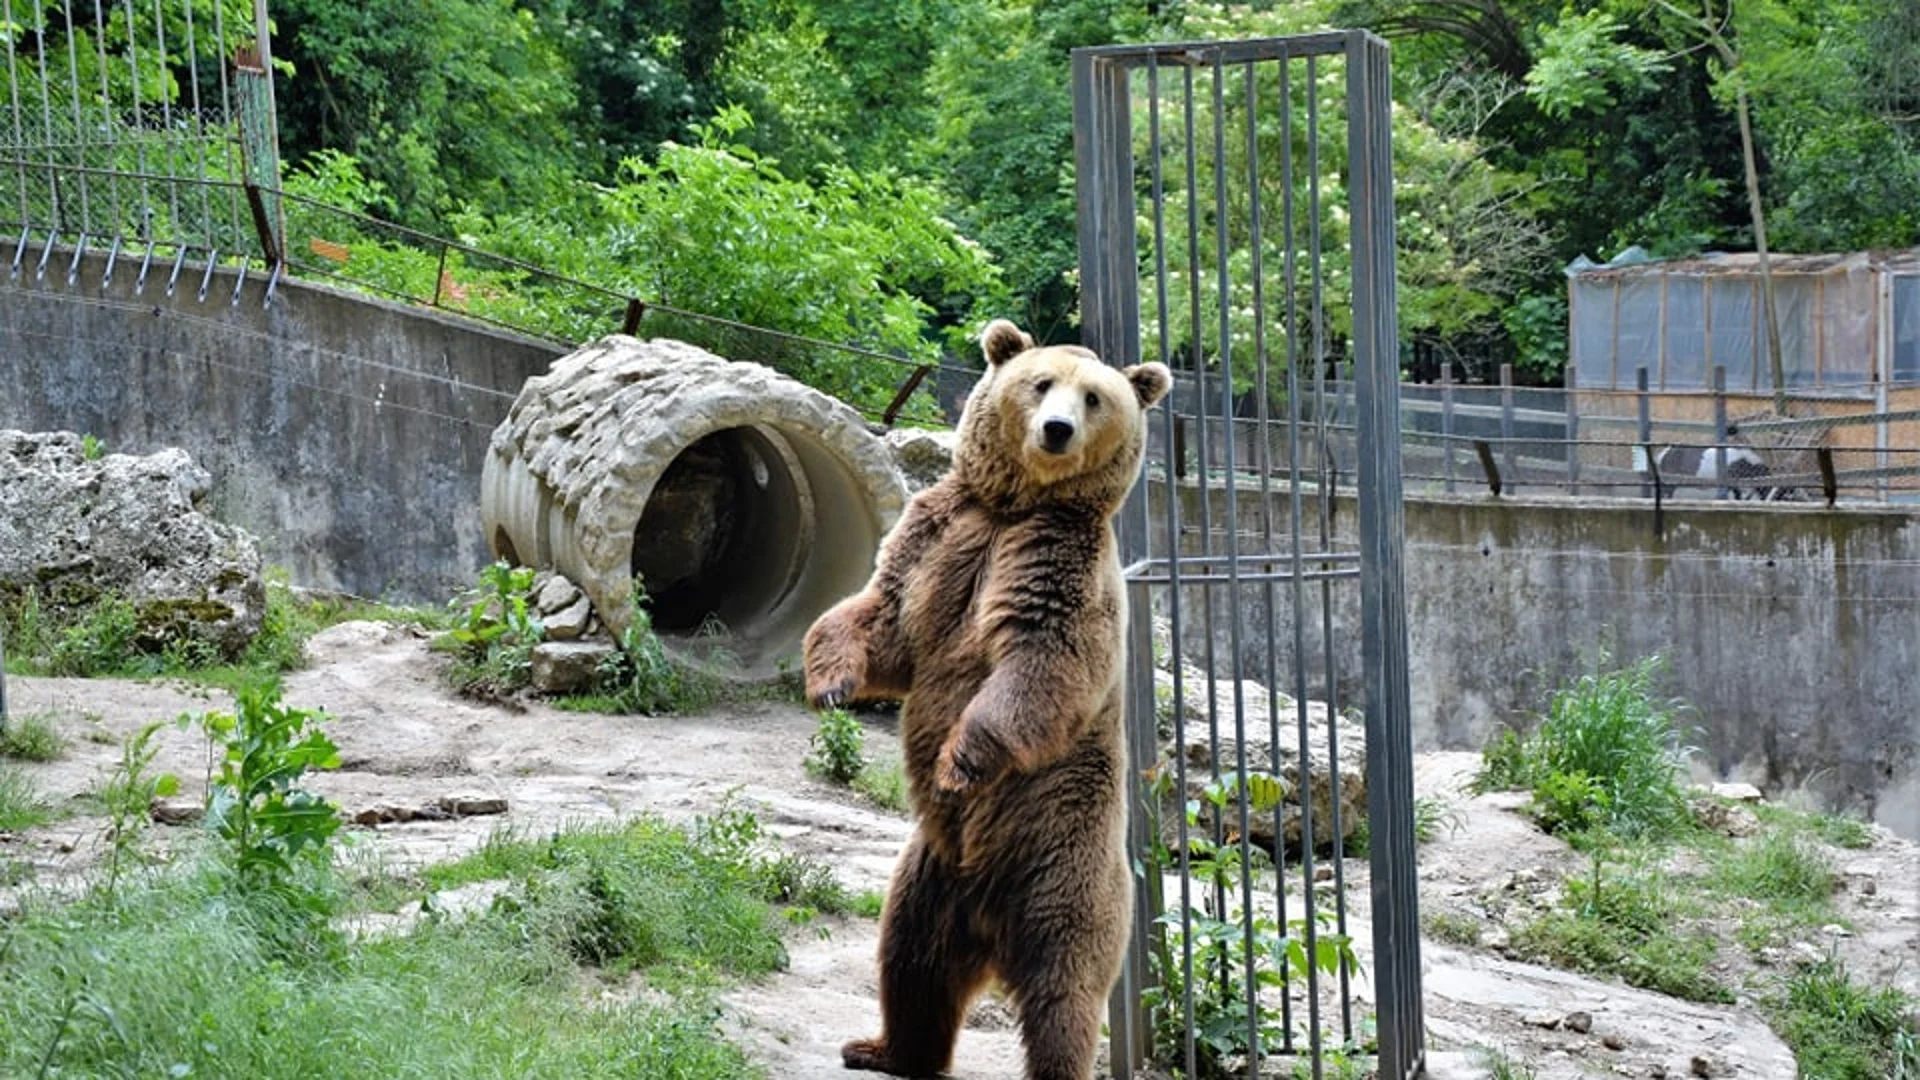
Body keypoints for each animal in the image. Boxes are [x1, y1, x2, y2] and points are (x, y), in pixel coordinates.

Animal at [798, 317, 1167, 1076]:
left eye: (1094, 397)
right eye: (1040, 383)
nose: (1056, 429)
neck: (1014, 506)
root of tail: (991, 933)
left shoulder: (1057, 565)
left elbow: (1041, 666)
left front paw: (957, 762)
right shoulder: (942, 533)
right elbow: (882, 615)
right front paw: (832, 684)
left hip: (1064, 867)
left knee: (1063, 995)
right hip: (928, 878)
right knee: (911, 962)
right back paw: (881, 1048)